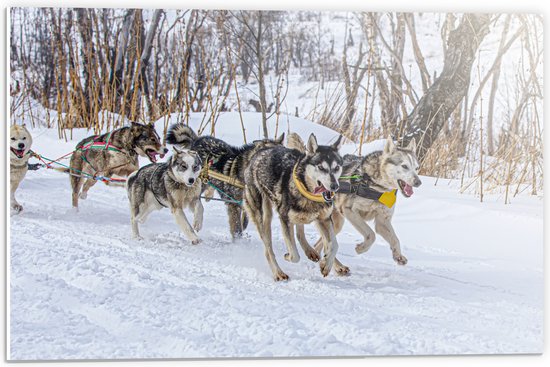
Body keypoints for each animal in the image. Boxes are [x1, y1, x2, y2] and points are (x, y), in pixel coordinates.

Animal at [244, 134, 342, 280]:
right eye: (321, 167)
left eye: (336, 168)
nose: (335, 186)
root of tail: (261, 151)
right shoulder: (285, 219)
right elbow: (294, 255)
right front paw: (287, 256)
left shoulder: (325, 219)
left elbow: (334, 245)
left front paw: (326, 265)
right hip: (263, 216)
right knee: (268, 249)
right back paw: (278, 273)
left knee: (300, 232)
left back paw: (311, 251)